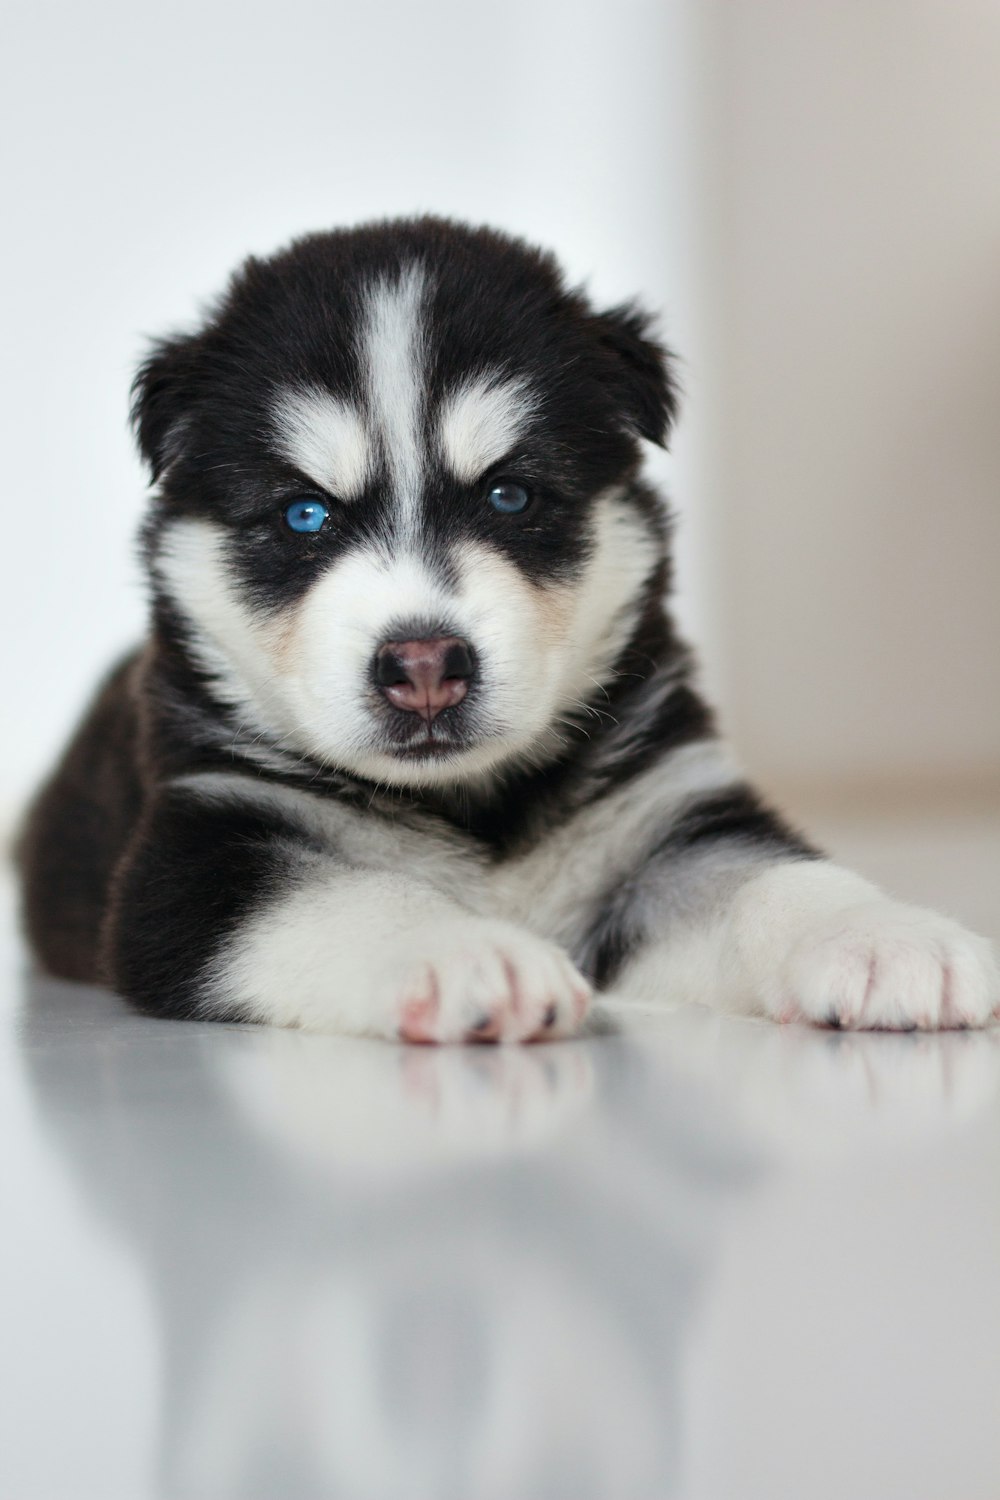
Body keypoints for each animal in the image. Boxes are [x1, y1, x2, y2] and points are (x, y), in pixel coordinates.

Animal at [17, 217, 1000, 1044]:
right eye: (304, 515)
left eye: (510, 495)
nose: (423, 664)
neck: (477, 808)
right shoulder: (201, 858)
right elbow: (352, 897)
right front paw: (464, 954)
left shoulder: (667, 819)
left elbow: (766, 874)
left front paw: (883, 936)